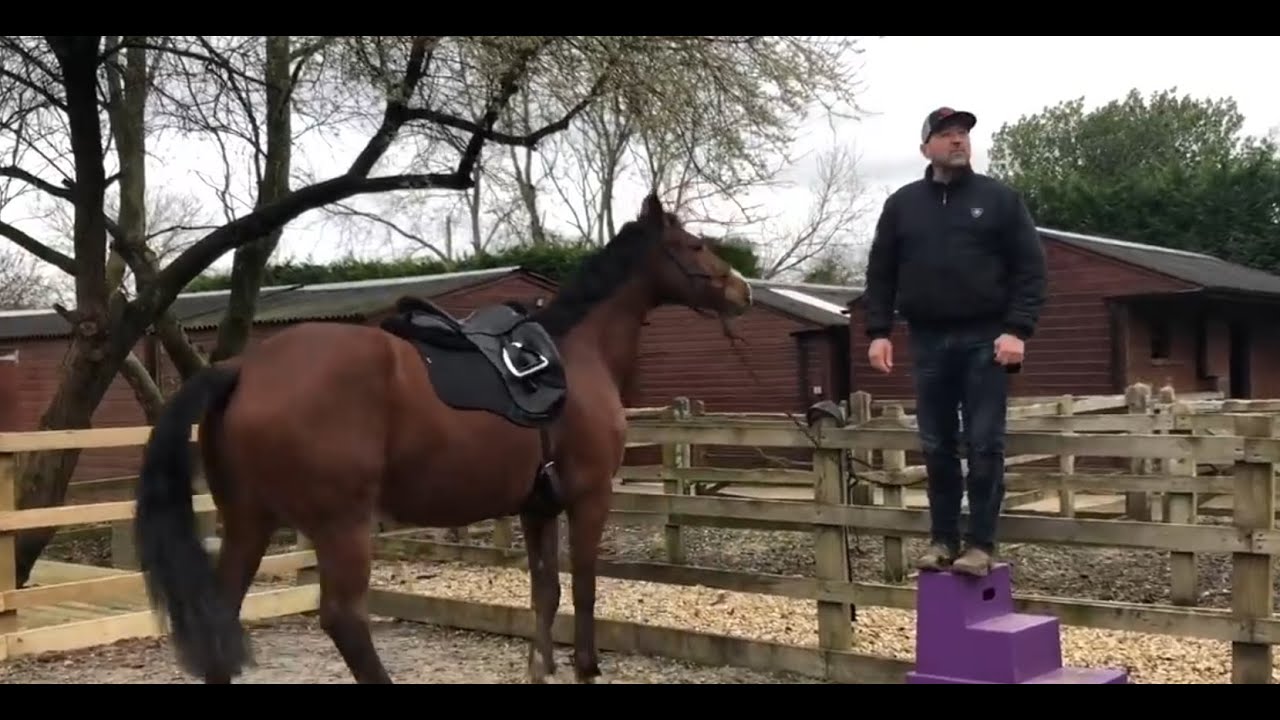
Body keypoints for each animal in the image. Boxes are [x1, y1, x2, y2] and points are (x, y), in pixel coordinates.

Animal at [132, 191, 754, 684]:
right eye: (694, 245)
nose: (743, 290)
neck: (575, 355)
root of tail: (246, 368)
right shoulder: (590, 496)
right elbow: (583, 588)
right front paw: (585, 668)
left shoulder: (538, 507)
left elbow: (545, 592)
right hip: (342, 526)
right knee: (344, 618)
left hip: (250, 521)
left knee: (223, 616)